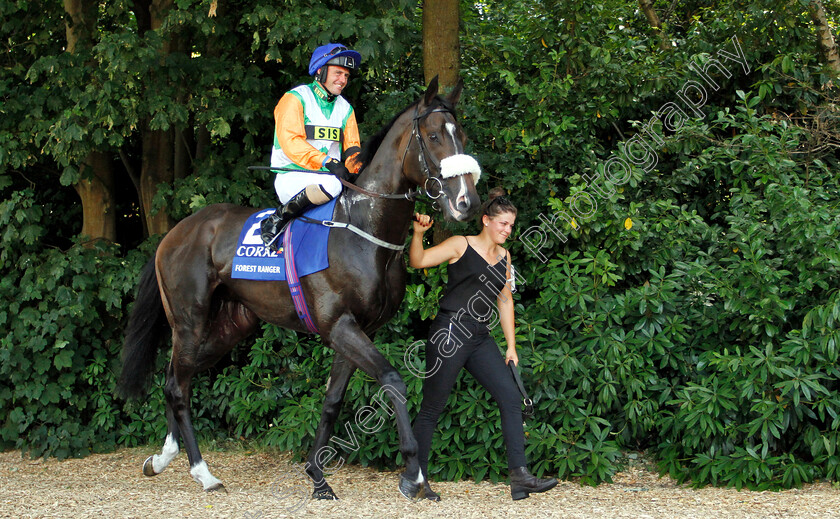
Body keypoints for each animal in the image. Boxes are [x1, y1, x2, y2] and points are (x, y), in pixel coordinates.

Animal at [118, 78, 482, 500]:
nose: (467, 202)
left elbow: (332, 401)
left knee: (175, 379)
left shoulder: (357, 330)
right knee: (178, 386)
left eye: (463, 135)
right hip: (190, 322)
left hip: (227, 329)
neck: (364, 229)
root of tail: (174, 233)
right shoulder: (340, 326)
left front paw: (317, 476)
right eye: (435, 136)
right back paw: (202, 472)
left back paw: (162, 458)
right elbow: (393, 382)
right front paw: (415, 475)